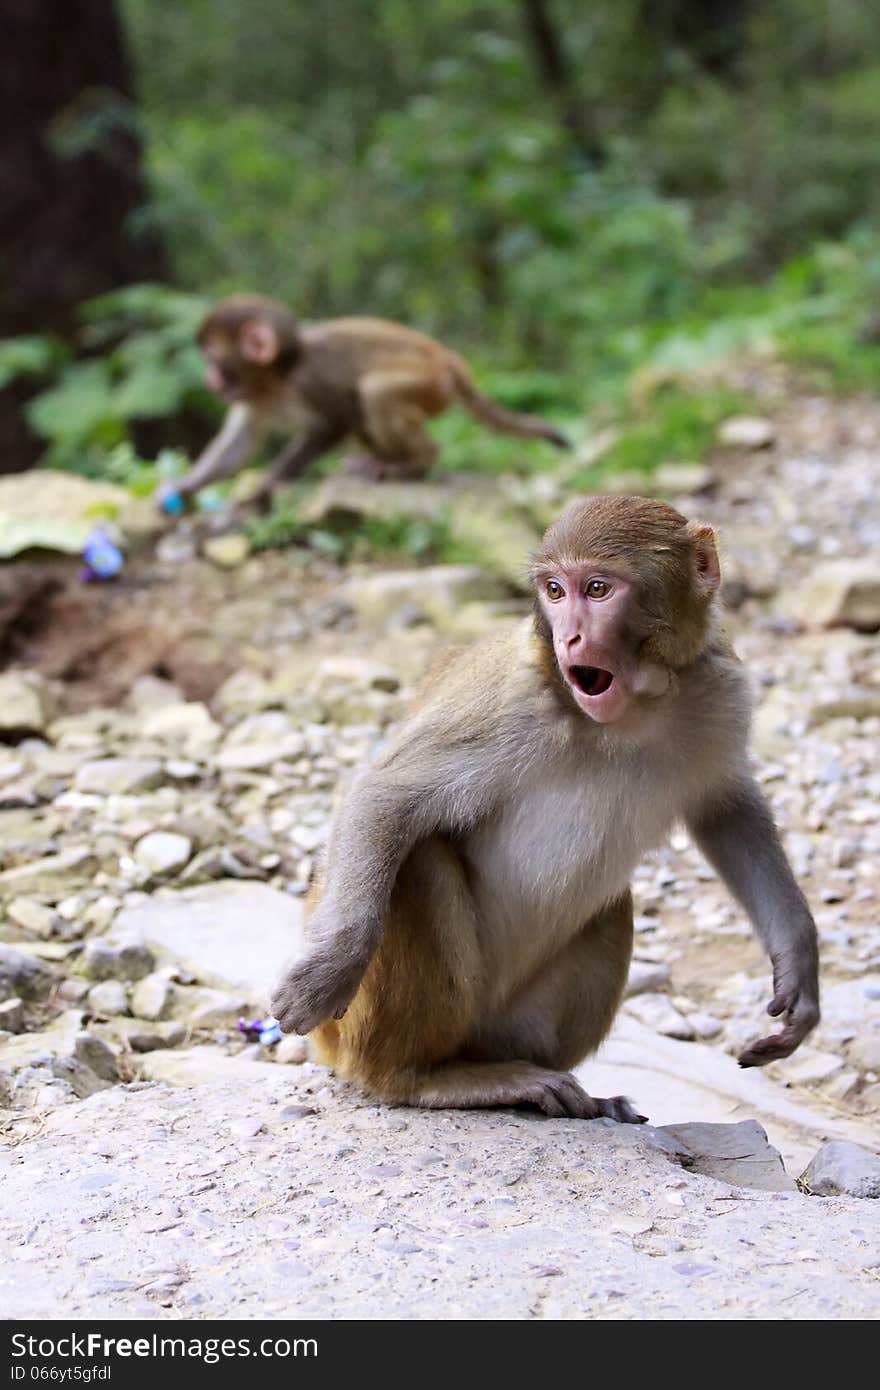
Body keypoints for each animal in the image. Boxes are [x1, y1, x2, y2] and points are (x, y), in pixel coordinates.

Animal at [157, 294, 569, 517]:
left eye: (212, 360)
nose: (210, 381)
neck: (277, 379)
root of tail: (444, 355)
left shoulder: (310, 383)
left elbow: (334, 423)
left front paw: (265, 489)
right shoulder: (253, 399)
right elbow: (237, 448)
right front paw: (183, 487)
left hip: (429, 383)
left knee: (372, 392)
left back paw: (415, 464)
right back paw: (380, 461)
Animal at [271, 494, 823, 1123]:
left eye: (598, 589)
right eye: (556, 591)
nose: (572, 639)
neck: (634, 710)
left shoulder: (719, 689)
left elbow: (727, 809)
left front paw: (799, 960)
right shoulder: (505, 705)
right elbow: (384, 797)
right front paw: (329, 969)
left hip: (511, 1024)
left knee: (612, 908)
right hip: (353, 1036)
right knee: (417, 863)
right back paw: (417, 1079)